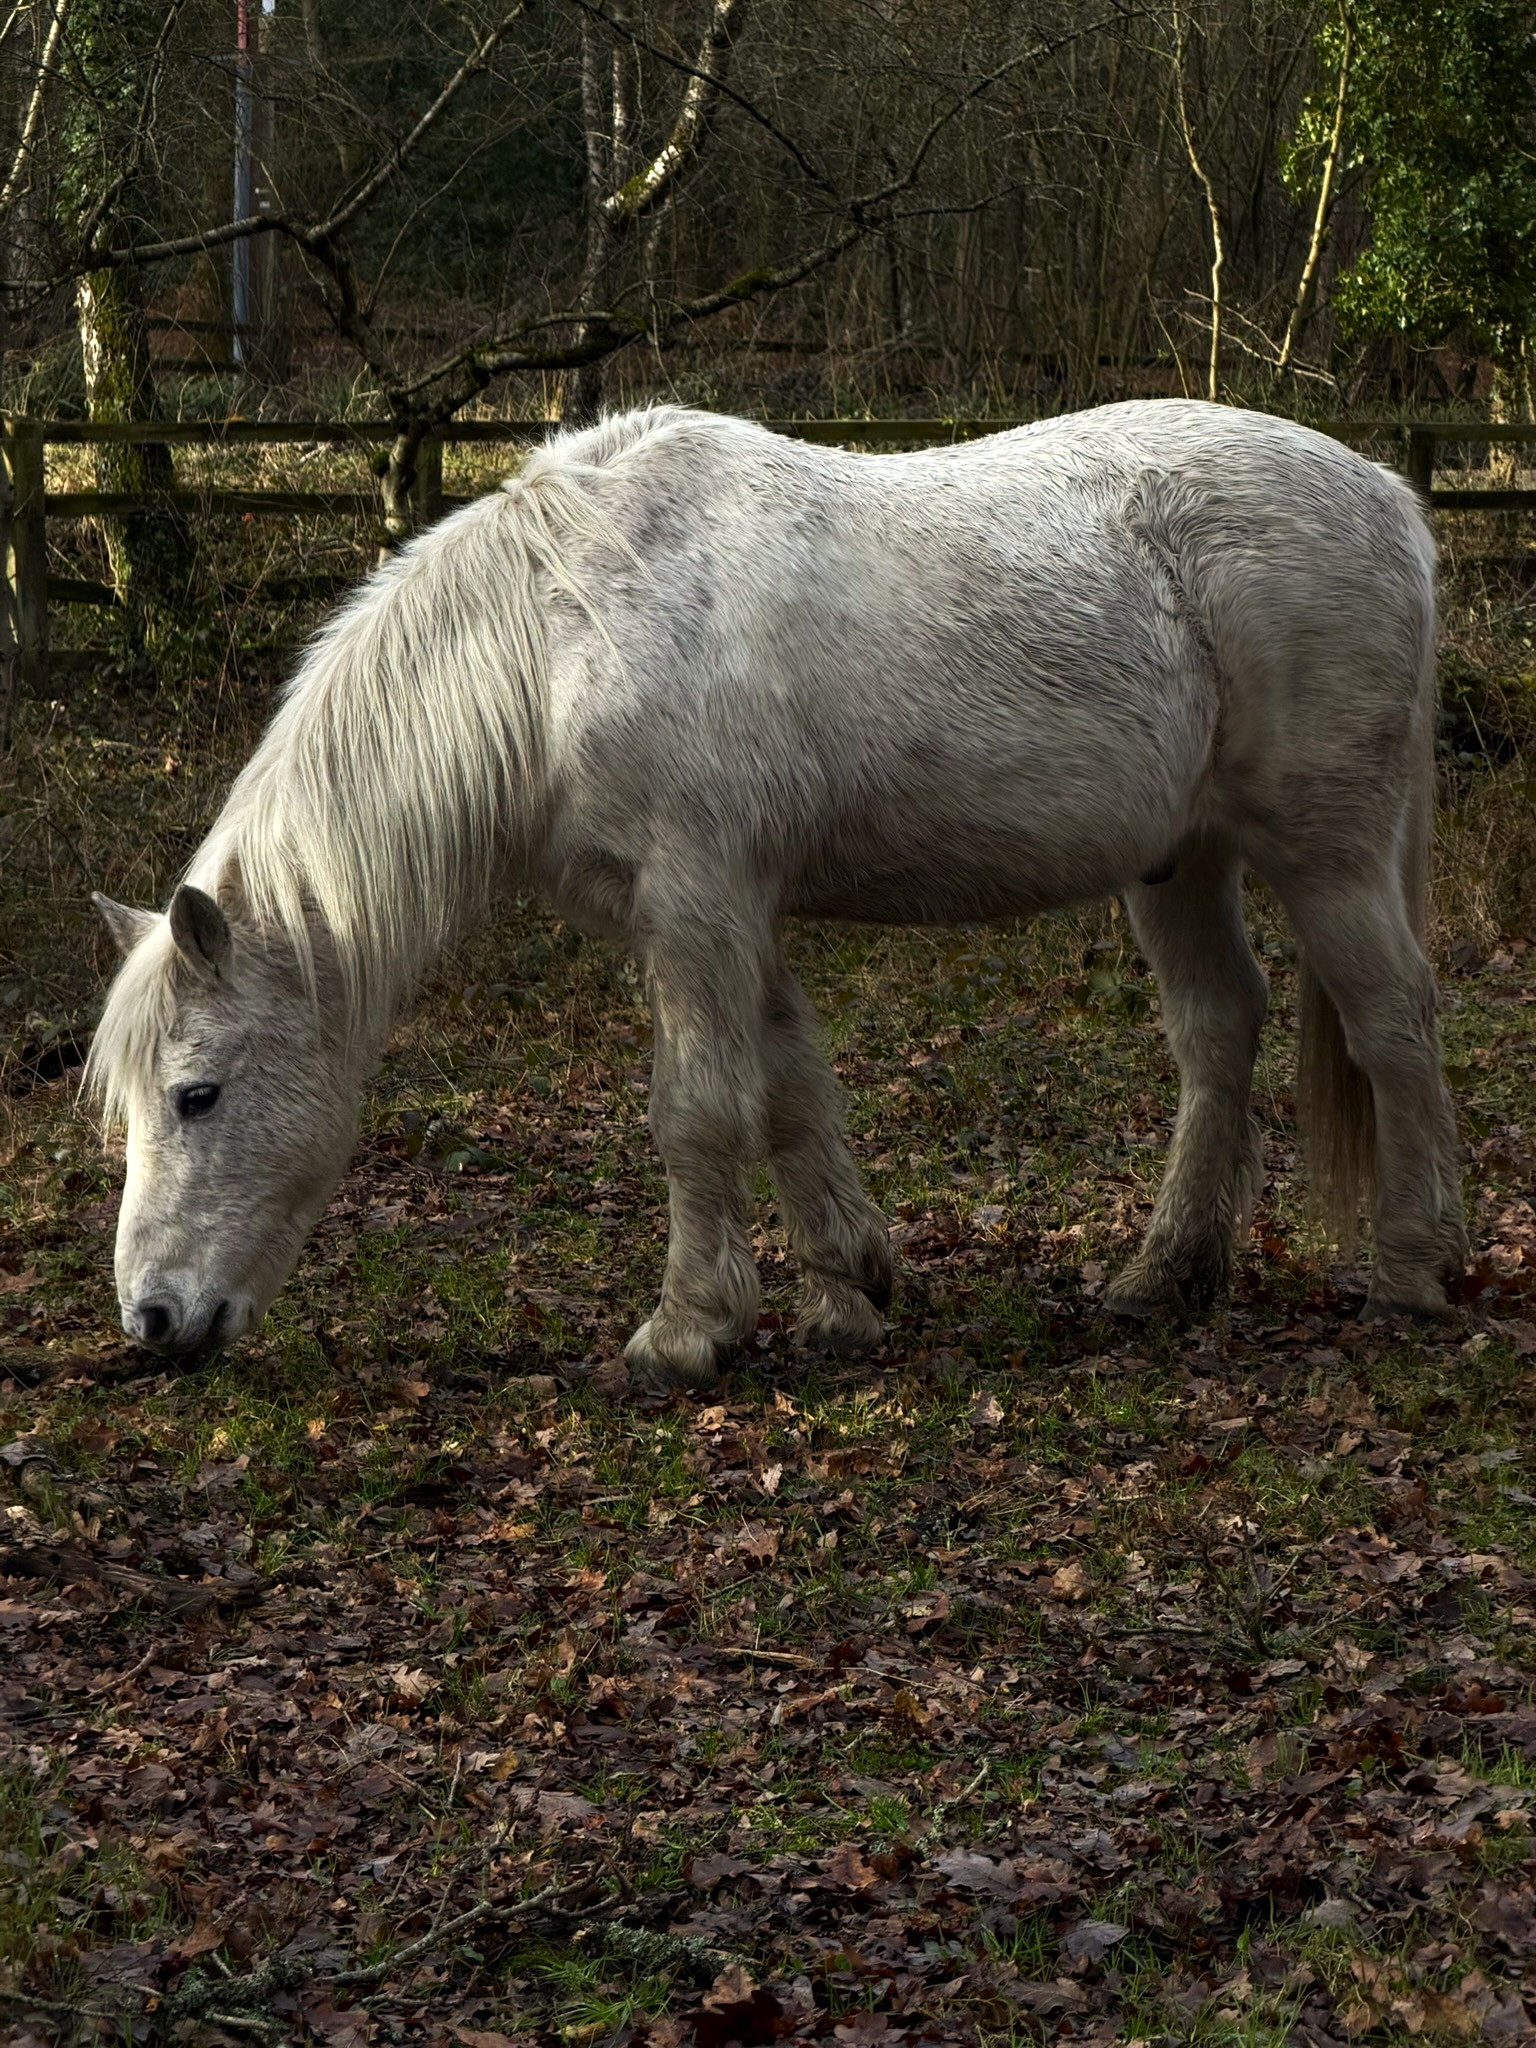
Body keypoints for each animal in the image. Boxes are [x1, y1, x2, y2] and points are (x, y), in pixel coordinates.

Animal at [86, 401, 1466, 1388]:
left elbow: (700, 1108)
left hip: (1328, 851)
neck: (564, 636)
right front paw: (848, 1290)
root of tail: (1388, 498)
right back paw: (1161, 1274)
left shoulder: (695, 902)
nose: (152, 1318)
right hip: (1181, 861)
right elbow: (795, 1085)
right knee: (1218, 1028)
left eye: (197, 1093)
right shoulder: (732, 911)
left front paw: (687, 1330)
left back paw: (1413, 1269)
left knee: (1394, 1020)